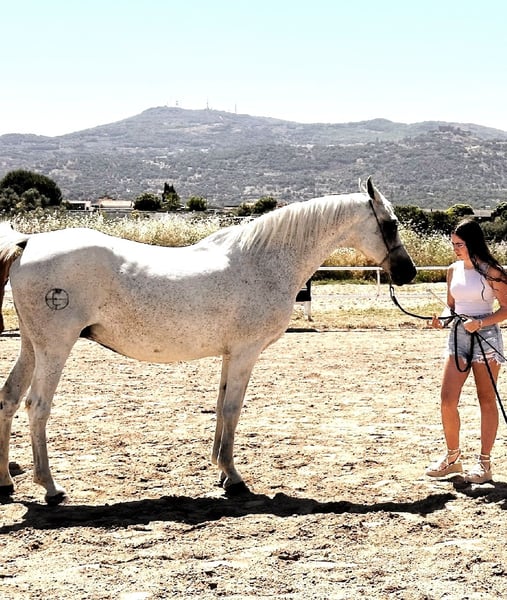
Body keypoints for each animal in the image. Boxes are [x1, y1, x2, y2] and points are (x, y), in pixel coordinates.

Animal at [0, 178, 416, 505]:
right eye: (391, 224)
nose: (408, 272)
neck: (263, 262)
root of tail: (28, 243)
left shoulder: (231, 355)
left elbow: (219, 406)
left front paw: (220, 470)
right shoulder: (247, 353)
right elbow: (232, 409)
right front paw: (234, 478)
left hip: (31, 346)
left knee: (9, 398)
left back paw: (6, 481)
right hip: (55, 348)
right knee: (37, 407)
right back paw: (50, 488)